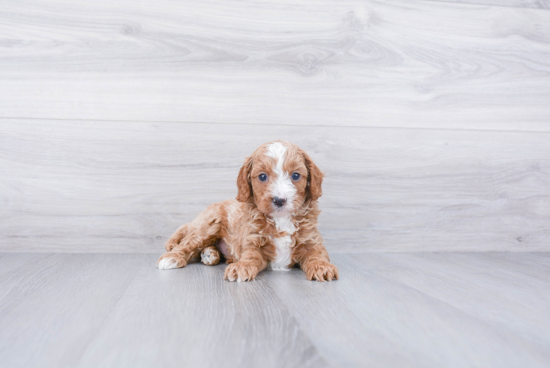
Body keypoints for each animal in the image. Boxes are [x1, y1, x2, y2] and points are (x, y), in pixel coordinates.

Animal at [157, 140, 338, 282]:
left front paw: (322, 267)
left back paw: (210, 254)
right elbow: (250, 255)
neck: (281, 219)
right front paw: (241, 267)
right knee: (189, 242)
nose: (279, 200)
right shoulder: (252, 239)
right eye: (262, 176)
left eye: (295, 175)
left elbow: (317, 254)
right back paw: (172, 257)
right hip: (210, 223)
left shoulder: (311, 240)